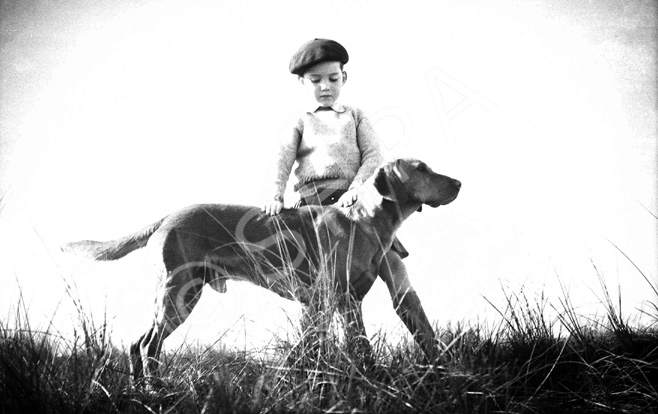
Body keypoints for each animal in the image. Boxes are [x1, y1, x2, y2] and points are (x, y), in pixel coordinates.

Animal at [64, 158, 458, 382]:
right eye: (421, 169)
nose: (459, 182)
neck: (365, 221)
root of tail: (167, 217)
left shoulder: (345, 302)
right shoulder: (341, 299)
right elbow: (359, 347)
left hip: (175, 296)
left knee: (137, 344)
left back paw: (144, 391)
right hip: (179, 294)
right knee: (148, 345)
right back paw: (157, 389)